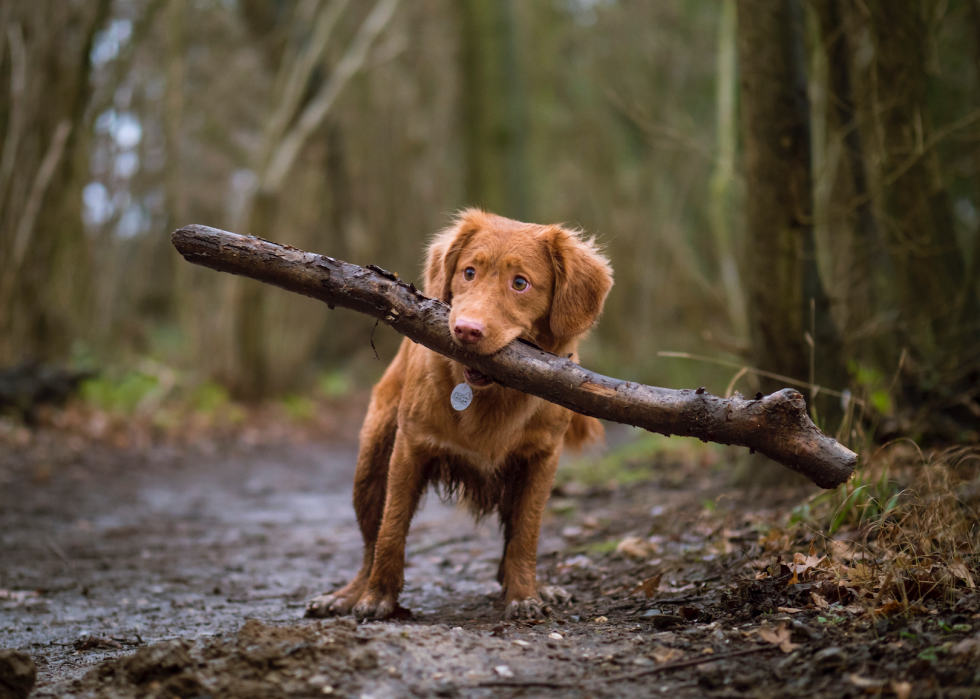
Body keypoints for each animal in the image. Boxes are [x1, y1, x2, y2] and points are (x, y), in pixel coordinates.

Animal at [306, 211, 612, 620]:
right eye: (469, 272)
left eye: (520, 283)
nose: (466, 330)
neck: (491, 396)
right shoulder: (410, 447)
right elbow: (391, 528)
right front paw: (378, 597)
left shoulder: (542, 459)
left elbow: (526, 533)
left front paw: (524, 594)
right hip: (371, 464)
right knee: (370, 541)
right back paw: (348, 594)